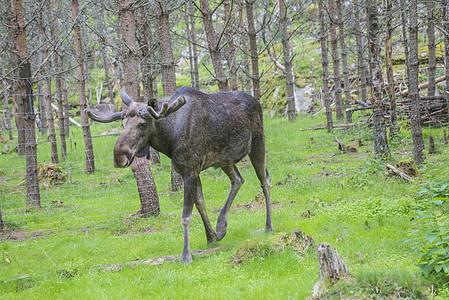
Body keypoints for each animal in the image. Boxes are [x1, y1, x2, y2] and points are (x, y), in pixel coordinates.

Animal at [86, 86, 272, 262]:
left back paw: (268, 226)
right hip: (224, 158)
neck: (169, 138)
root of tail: (257, 102)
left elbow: (186, 216)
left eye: (143, 124)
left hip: (257, 143)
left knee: (265, 181)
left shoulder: (190, 170)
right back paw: (221, 226)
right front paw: (211, 236)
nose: (119, 157)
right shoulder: (188, 171)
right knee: (238, 179)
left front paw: (186, 255)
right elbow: (200, 203)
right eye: (122, 124)